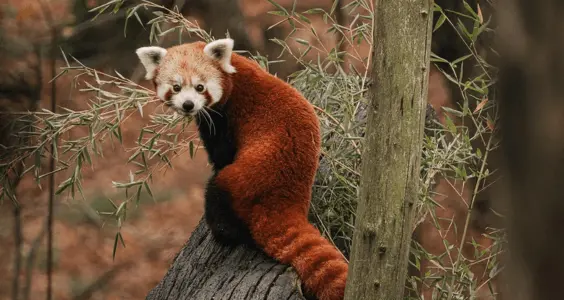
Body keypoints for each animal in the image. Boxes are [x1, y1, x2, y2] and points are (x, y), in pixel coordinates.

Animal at [136, 38, 348, 298]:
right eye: (176, 87)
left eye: (199, 87)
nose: (188, 105)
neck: (235, 73)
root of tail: (286, 200)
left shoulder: (224, 119)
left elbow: (222, 155)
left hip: (241, 180)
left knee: (219, 197)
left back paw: (225, 232)